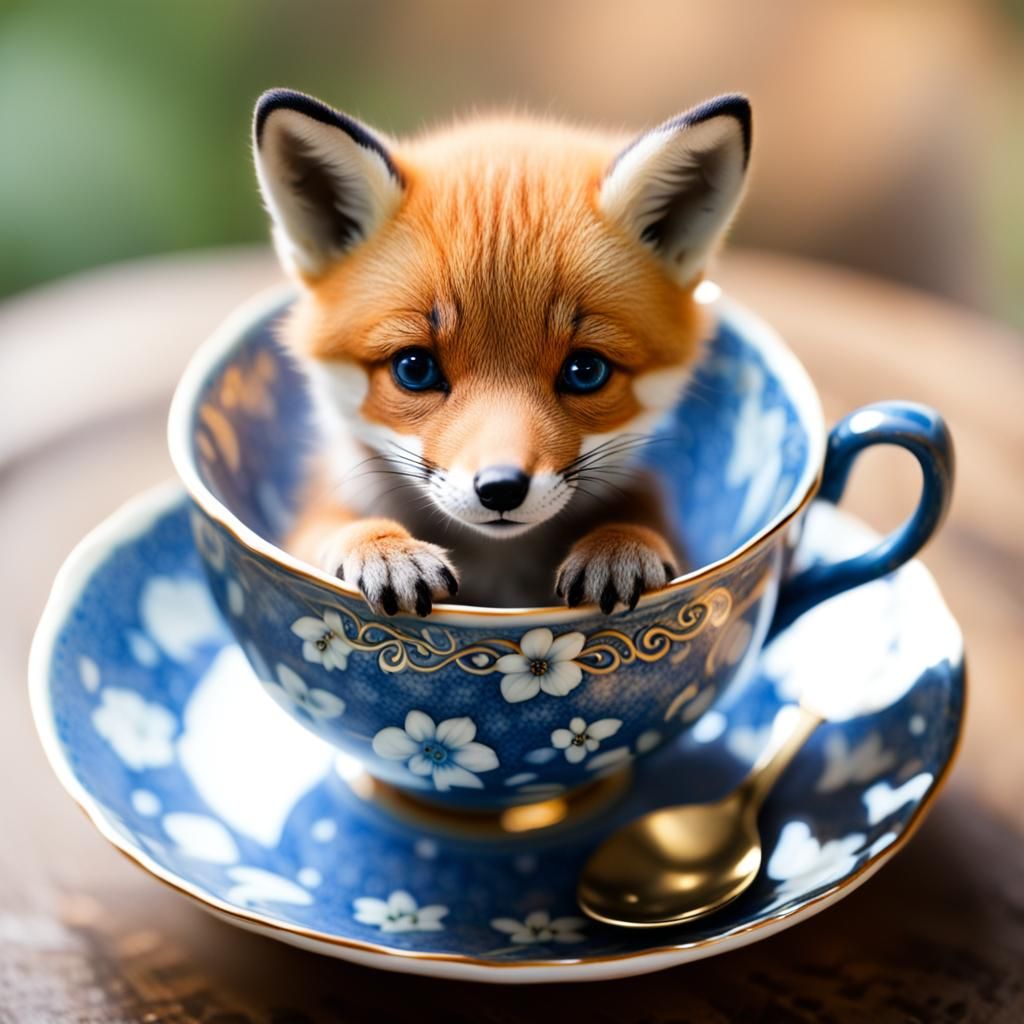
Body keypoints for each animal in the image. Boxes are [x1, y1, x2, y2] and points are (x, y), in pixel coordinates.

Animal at [252, 88, 751, 615]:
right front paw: (381, 547)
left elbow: (644, 523)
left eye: (585, 370)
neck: (499, 571)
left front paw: (621, 543)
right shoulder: (308, 519)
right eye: (414, 368)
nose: (500, 489)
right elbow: (331, 528)